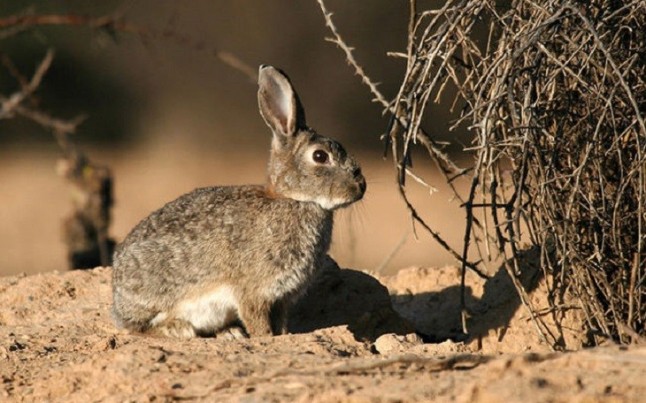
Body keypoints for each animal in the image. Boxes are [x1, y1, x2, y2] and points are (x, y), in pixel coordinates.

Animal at [111, 65, 366, 339]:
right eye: (320, 156)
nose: (361, 186)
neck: (294, 199)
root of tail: (116, 299)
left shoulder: (282, 298)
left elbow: (281, 325)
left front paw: (282, 336)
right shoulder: (254, 292)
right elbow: (259, 323)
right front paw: (265, 338)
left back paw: (229, 333)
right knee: (139, 328)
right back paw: (178, 329)